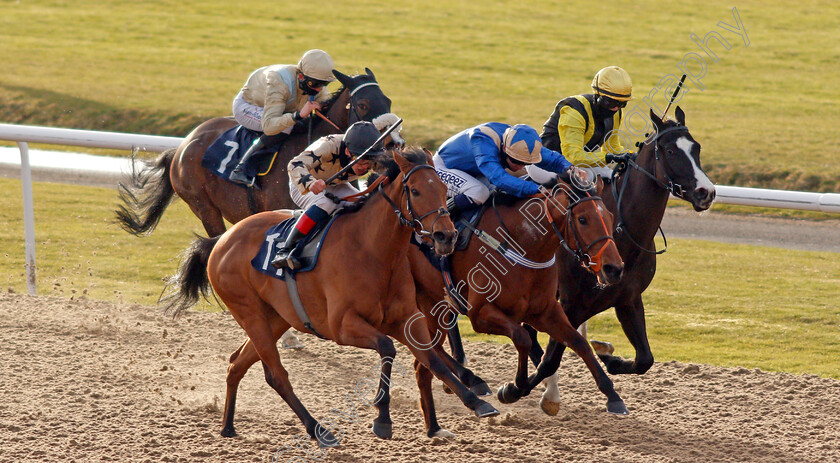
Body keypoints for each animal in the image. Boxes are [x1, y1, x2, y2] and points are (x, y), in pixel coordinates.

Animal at [410, 174, 628, 436]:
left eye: (610, 216)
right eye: (583, 219)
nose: (614, 268)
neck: (522, 243)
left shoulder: (545, 312)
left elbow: (579, 343)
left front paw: (613, 396)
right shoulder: (481, 314)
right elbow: (522, 338)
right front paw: (513, 388)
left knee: (431, 351)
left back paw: (469, 382)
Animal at [532, 106, 716, 410]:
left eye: (697, 147)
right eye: (669, 150)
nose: (707, 192)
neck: (620, 229)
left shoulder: (627, 299)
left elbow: (644, 359)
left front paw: (609, 357)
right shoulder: (571, 303)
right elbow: (551, 358)